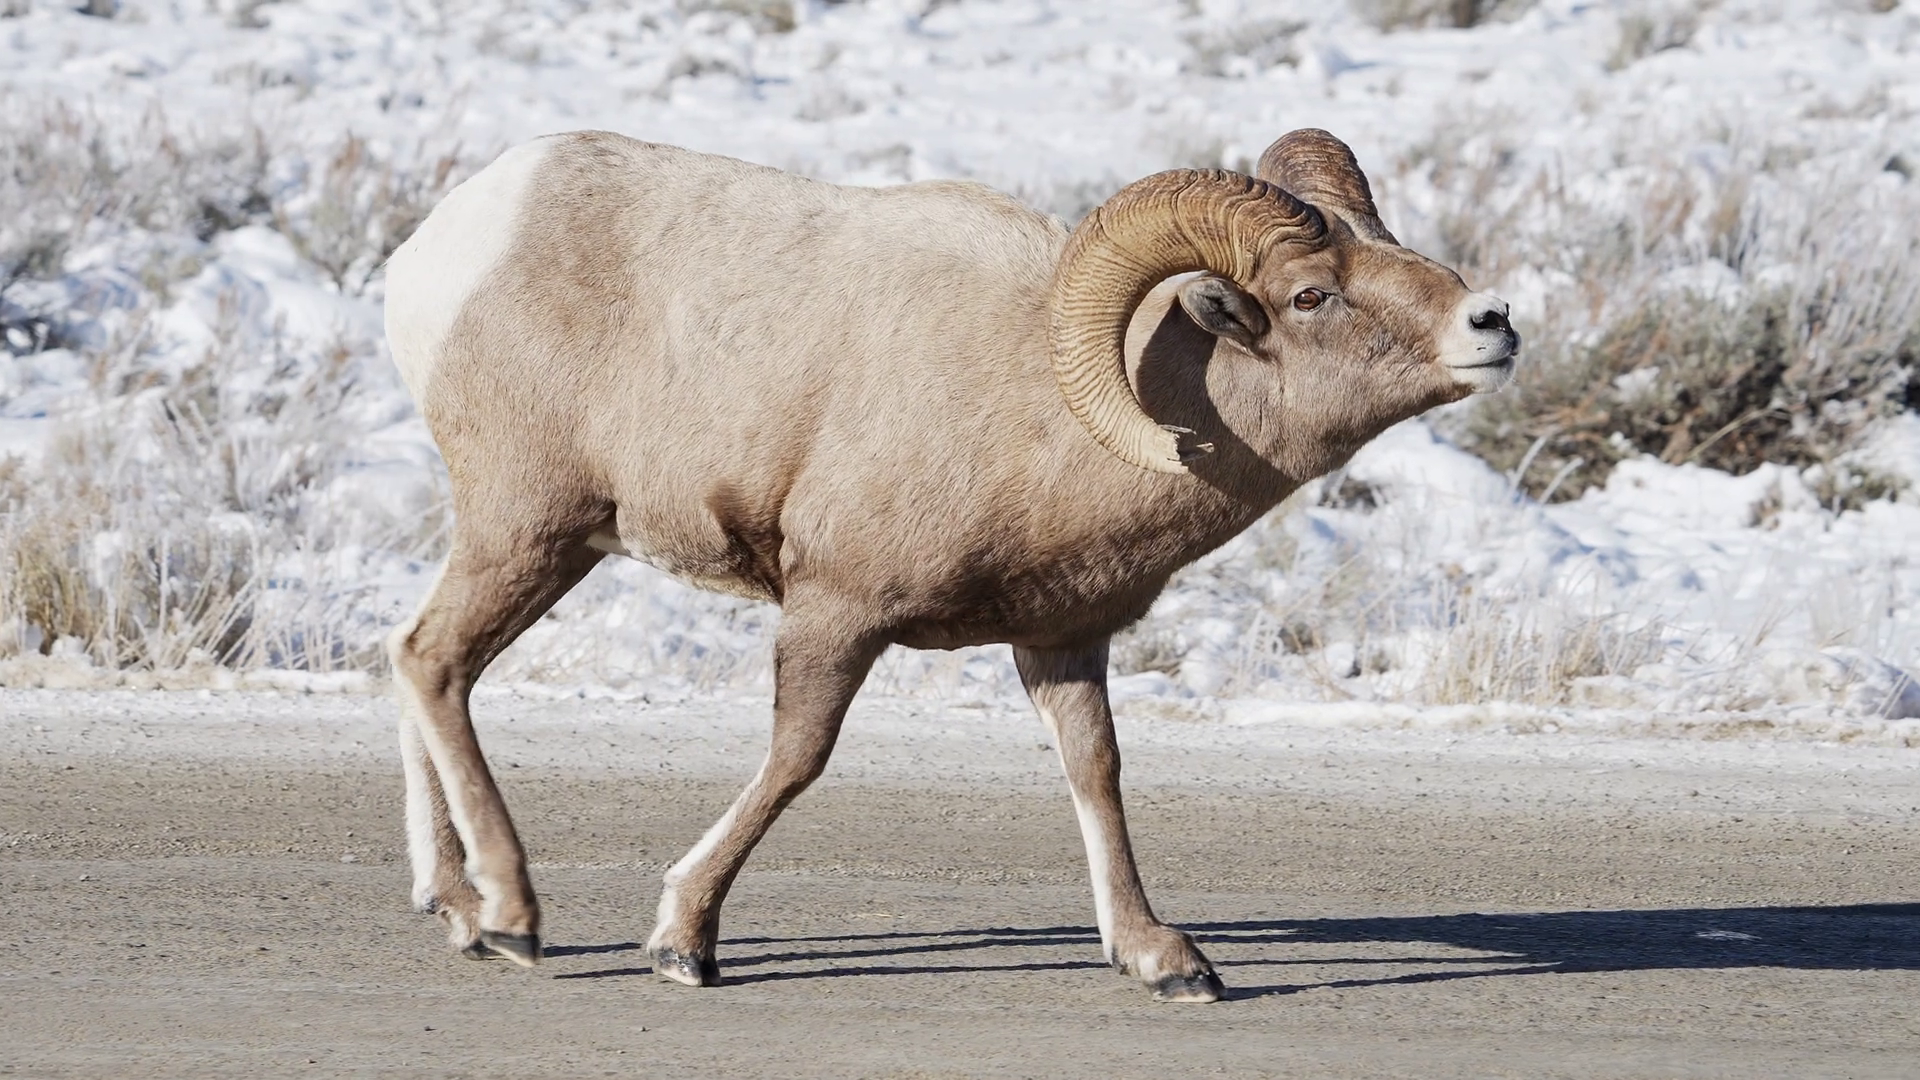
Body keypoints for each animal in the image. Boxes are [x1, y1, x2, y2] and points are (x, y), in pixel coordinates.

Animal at [380, 127, 1518, 1003]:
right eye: (1313, 294)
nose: (1494, 323)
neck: (1046, 411)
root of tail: (446, 247)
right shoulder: (837, 613)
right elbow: (798, 761)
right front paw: (683, 943)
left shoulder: (1062, 645)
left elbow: (1098, 774)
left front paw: (1165, 962)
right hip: (531, 529)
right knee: (436, 661)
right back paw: (512, 917)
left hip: (542, 545)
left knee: (418, 659)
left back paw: (455, 910)